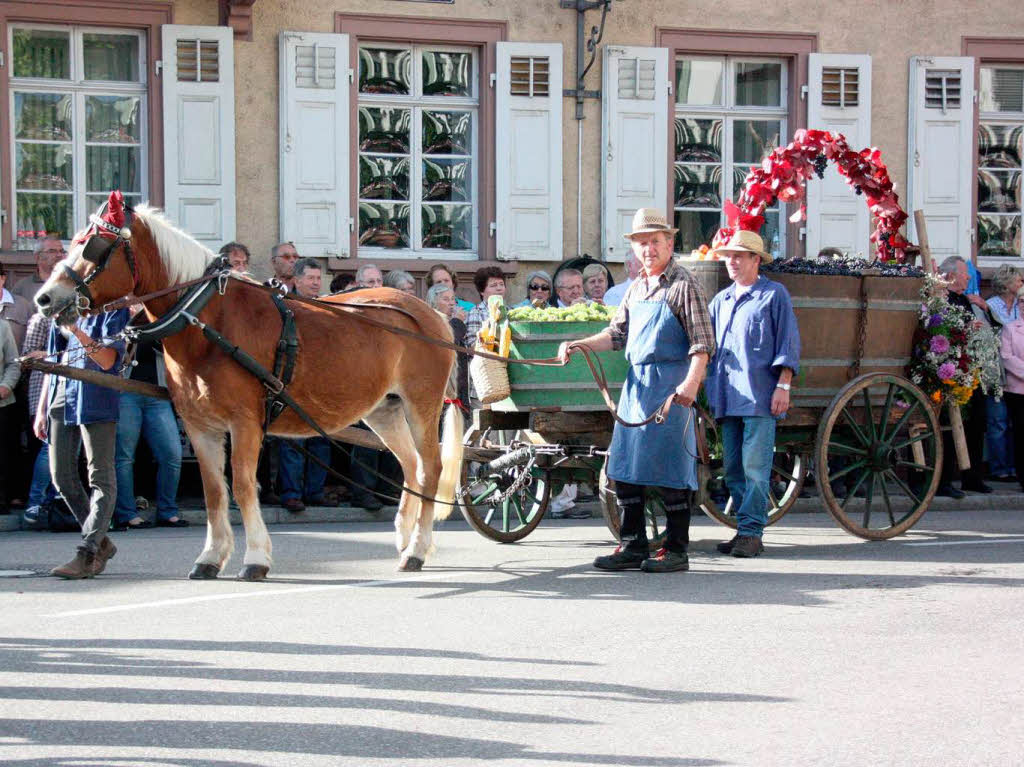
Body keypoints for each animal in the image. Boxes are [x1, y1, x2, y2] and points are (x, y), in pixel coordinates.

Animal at [33, 194, 464, 577]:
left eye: (94, 244)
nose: (45, 298)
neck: (208, 320)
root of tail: (432, 316)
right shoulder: (200, 426)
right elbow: (214, 492)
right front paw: (210, 558)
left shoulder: (245, 424)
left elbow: (242, 487)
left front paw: (255, 558)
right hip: (384, 410)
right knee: (412, 467)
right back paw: (405, 539)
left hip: (421, 405)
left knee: (431, 467)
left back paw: (417, 549)